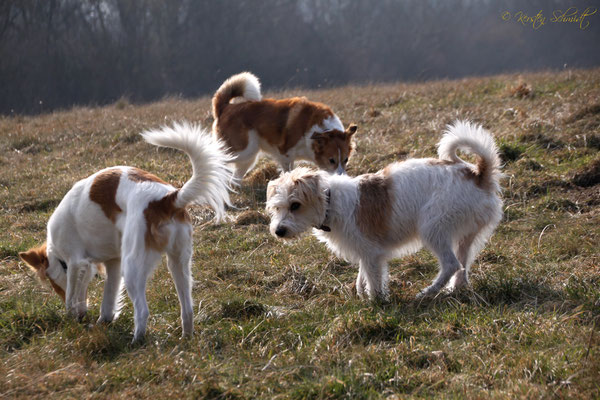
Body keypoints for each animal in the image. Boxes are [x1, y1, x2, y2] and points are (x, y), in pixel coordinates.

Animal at [19, 123, 232, 342]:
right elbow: (108, 299)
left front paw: (71, 317)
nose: (80, 319)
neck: (56, 252)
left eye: (53, 285)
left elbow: (72, 296)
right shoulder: (113, 262)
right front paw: (103, 321)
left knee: (143, 310)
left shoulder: (76, 262)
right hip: (178, 263)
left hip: (133, 267)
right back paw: (185, 337)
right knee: (187, 309)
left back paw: (137, 340)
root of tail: (167, 199)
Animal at [212, 72, 356, 181]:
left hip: (249, 156)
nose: (343, 179)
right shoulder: (285, 154)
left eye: (346, 159)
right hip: (243, 150)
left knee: (235, 178)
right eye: (331, 160)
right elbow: (288, 172)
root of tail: (225, 107)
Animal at [264, 121, 504, 300]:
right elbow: (362, 276)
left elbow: (373, 279)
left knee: (451, 264)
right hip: (465, 236)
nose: (278, 231)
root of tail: (478, 174)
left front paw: (376, 303)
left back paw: (427, 293)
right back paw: (454, 289)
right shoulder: (365, 251)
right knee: (462, 266)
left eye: (295, 205)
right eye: (277, 207)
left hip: (433, 228)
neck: (331, 201)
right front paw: (362, 295)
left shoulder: (372, 254)